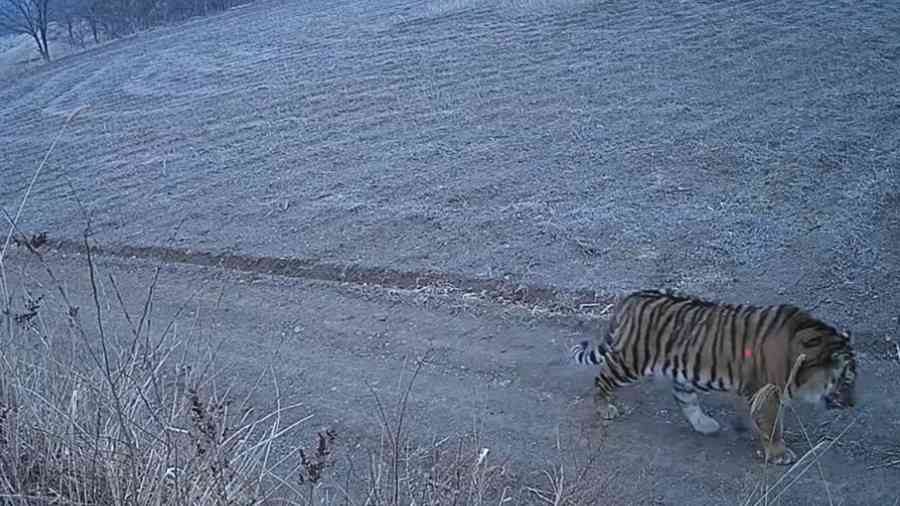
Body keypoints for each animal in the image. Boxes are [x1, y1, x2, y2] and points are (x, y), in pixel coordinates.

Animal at [570, 289, 857, 465]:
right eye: (846, 381)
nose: (853, 404)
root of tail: (632, 297)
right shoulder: (769, 392)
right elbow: (773, 425)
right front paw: (779, 454)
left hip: (680, 370)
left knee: (684, 398)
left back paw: (705, 425)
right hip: (632, 360)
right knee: (602, 378)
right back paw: (604, 408)